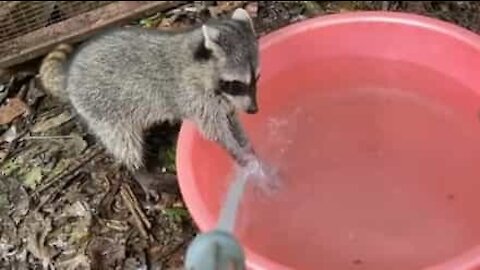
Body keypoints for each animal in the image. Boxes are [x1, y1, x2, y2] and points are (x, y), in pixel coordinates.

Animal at [38, 8, 262, 198]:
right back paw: (139, 172)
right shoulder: (195, 98)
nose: (253, 110)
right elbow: (215, 131)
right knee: (124, 141)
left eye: (257, 78)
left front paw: (247, 146)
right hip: (101, 107)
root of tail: (69, 75)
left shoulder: (223, 100)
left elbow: (232, 119)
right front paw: (241, 155)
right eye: (236, 84)